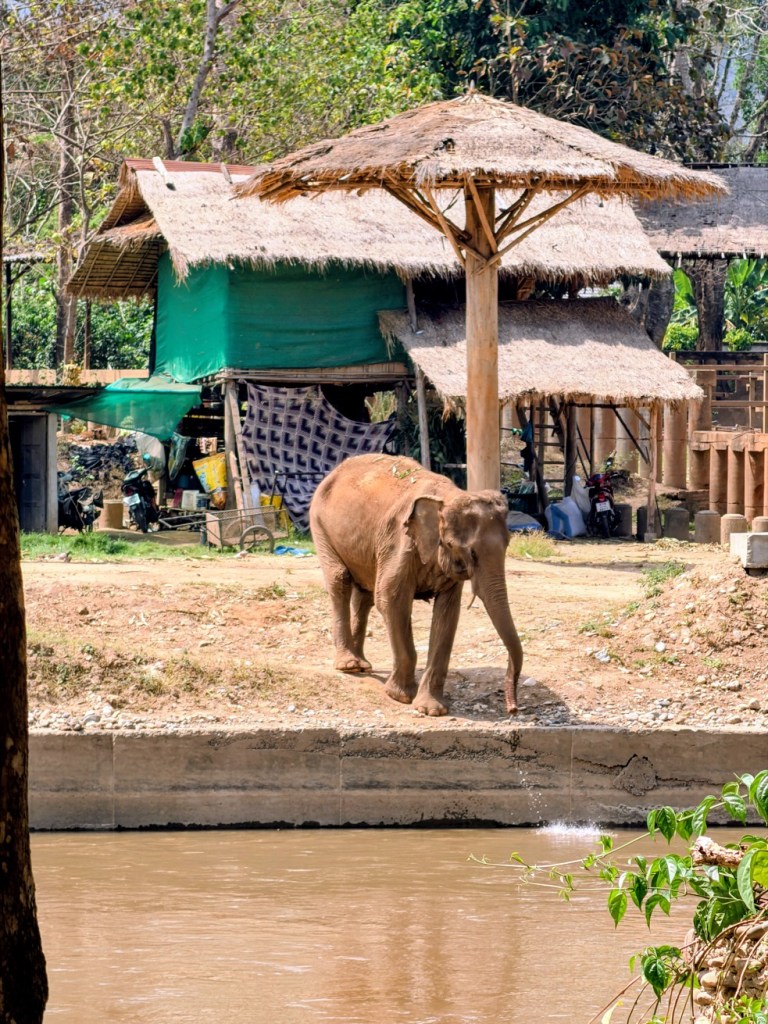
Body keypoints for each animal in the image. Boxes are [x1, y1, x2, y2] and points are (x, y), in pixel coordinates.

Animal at [309, 453, 524, 717]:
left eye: (507, 544)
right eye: (465, 550)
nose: (513, 709)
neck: (447, 497)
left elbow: (447, 614)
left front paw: (432, 710)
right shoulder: (399, 542)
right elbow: (391, 599)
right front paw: (400, 697)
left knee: (364, 595)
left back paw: (362, 665)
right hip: (320, 524)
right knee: (340, 580)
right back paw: (349, 666)